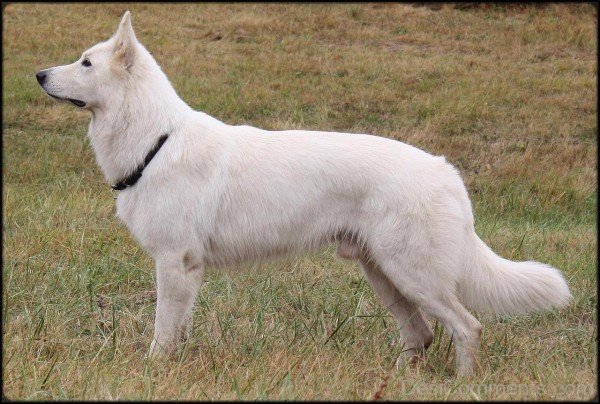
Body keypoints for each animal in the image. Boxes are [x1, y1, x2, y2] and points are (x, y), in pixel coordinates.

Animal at [37, 11, 572, 376]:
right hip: (384, 275)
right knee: (420, 334)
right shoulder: (182, 271)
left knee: (466, 326)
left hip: (412, 274)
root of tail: (447, 173)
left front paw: (154, 371)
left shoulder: (175, 264)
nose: (39, 75)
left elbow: (162, 333)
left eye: (86, 62)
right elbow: (178, 330)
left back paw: (462, 382)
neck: (156, 140)